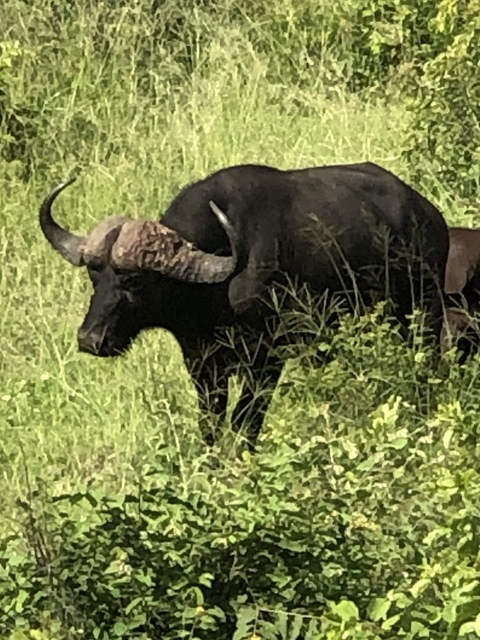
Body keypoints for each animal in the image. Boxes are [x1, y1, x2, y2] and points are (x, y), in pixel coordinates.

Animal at [39, 162, 449, 450]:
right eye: (94, 276)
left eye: (135, 280)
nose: (90, 339)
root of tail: (431, 218)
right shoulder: (202, 364)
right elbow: (211, 421)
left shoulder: (267, 360)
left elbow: (246, 420)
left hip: (424, 314)